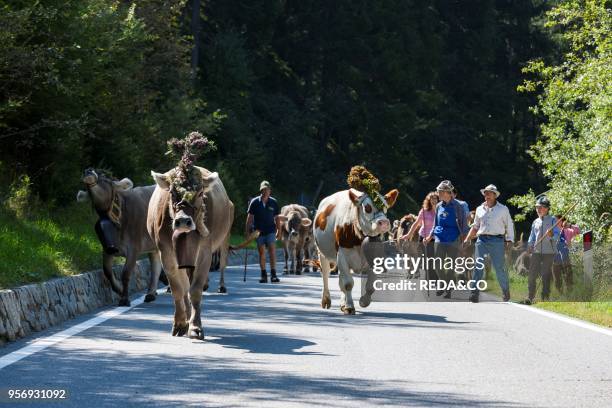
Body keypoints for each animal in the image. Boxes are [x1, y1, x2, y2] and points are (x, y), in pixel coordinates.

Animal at [76, 169, 163, 306]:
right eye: (86, 188)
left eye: (105, 179)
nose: (88, 170)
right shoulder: (107, 249)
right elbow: (107, 272)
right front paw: (120, 290)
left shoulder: (134, 248)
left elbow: (125, 273)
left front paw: (124, 298)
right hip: (153, 245)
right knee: (156, 265)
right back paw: (150, 293)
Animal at [314, 166, 400, 316]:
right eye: (367, 207)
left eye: (385, 207)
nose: (384, 223)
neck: (360, 238)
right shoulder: (342, 255)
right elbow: (348, 283)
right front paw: (349, 307)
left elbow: (370, 285)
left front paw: (363, 301)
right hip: (323, 253)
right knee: (325, 274)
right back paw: (326, 300)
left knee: (340, 281)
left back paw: (342, 303)